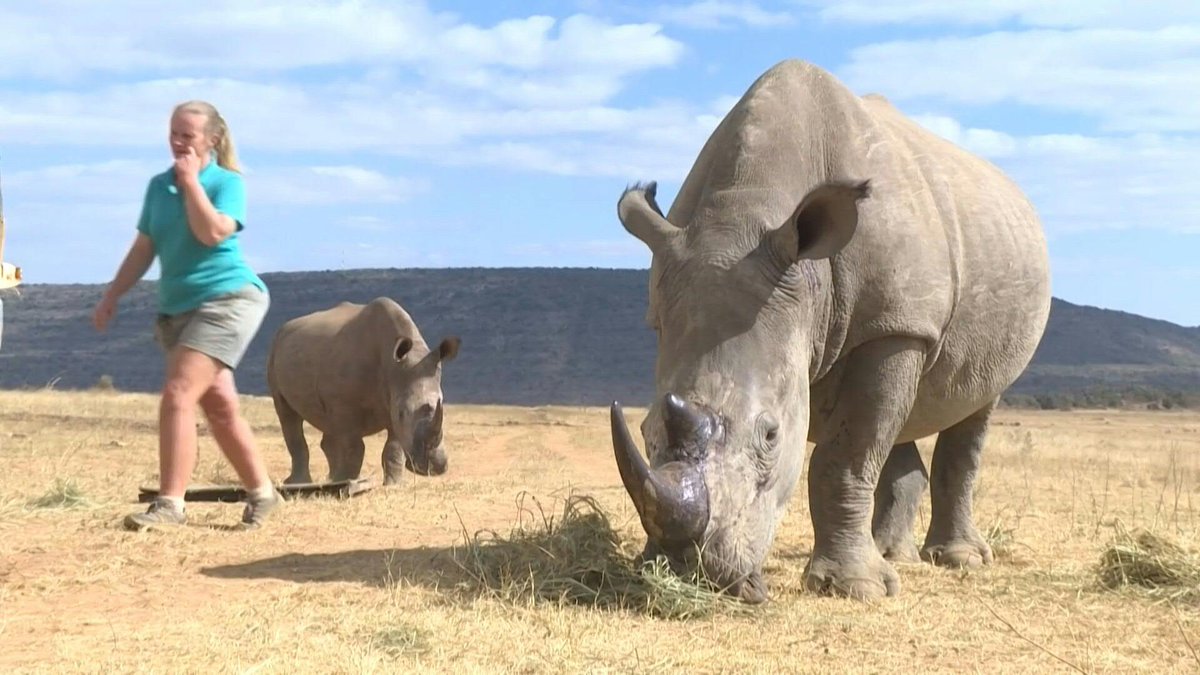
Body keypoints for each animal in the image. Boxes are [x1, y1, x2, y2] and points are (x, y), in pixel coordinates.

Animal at [266, 297, 461, 486]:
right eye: (402, 412)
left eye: (441, 404)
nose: (434, 468)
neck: (394, 366)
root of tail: (284, 328)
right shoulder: (346, 404)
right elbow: (354, 446)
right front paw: (347, 481)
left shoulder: (394, 399)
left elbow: (393, 447)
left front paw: (394, 485)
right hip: (274, 351)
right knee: (288, 415)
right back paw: (301, 482)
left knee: (328, 423)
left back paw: (331, 478)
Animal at [609, 60, 1051, 603]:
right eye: (645, 431)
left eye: (771, 435)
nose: (687, 568)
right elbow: (865, 443)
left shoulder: (894, 326)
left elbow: (846, 458)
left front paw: (857, 590)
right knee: (902, 420)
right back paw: (892, 554)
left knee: (973, 409)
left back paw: (957, 560)